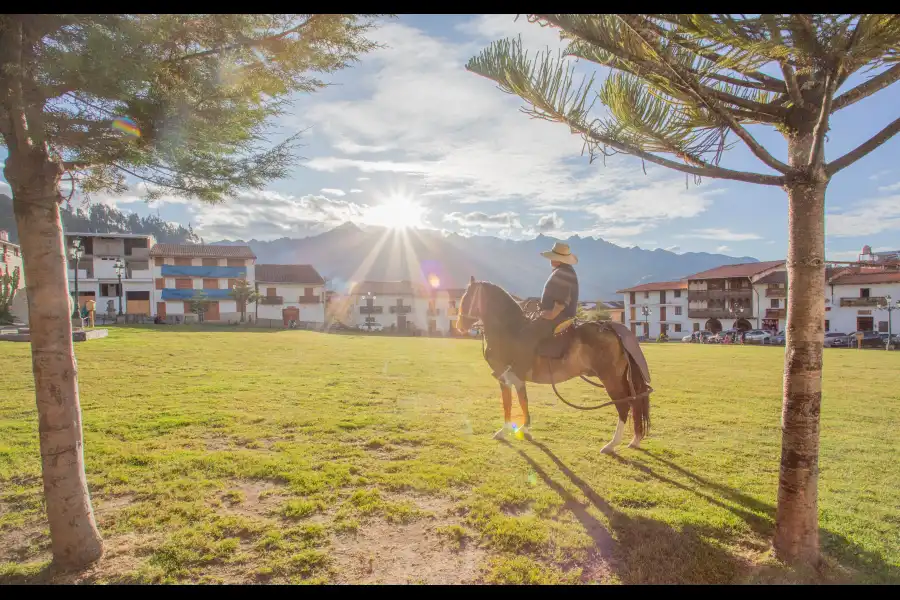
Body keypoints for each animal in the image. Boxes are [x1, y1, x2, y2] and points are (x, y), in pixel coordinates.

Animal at [460, 278, 652, 452]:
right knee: (635, 401)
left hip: (610, 378)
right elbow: (523, 400)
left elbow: (508, 402)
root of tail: (612, 330)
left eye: (468, 298)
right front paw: (525, 429)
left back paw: (612, 444)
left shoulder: (504, 376)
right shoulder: (517, 378)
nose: (460, 325)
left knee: (623, 406)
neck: (509, 330)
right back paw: (635, 439)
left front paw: (503, 431)